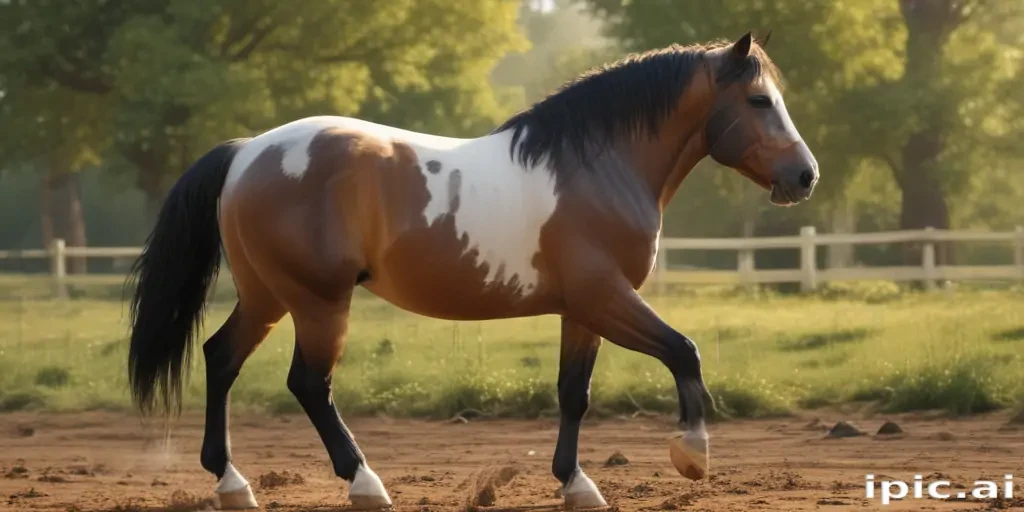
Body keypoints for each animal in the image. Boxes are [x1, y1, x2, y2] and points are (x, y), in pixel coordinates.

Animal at [125, 32, 818, 510]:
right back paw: (365, 483)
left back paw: (234, 484)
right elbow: (684, 351)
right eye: (760, 99)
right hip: (318, 301)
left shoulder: (581, 311)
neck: (596, 165)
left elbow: (574, 393)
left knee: (221, 359)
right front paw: (692, 455)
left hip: (268, 296)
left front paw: (577, 485)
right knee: (309, 384)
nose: (804, 176)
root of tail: (248, 152)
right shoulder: (607, 297)